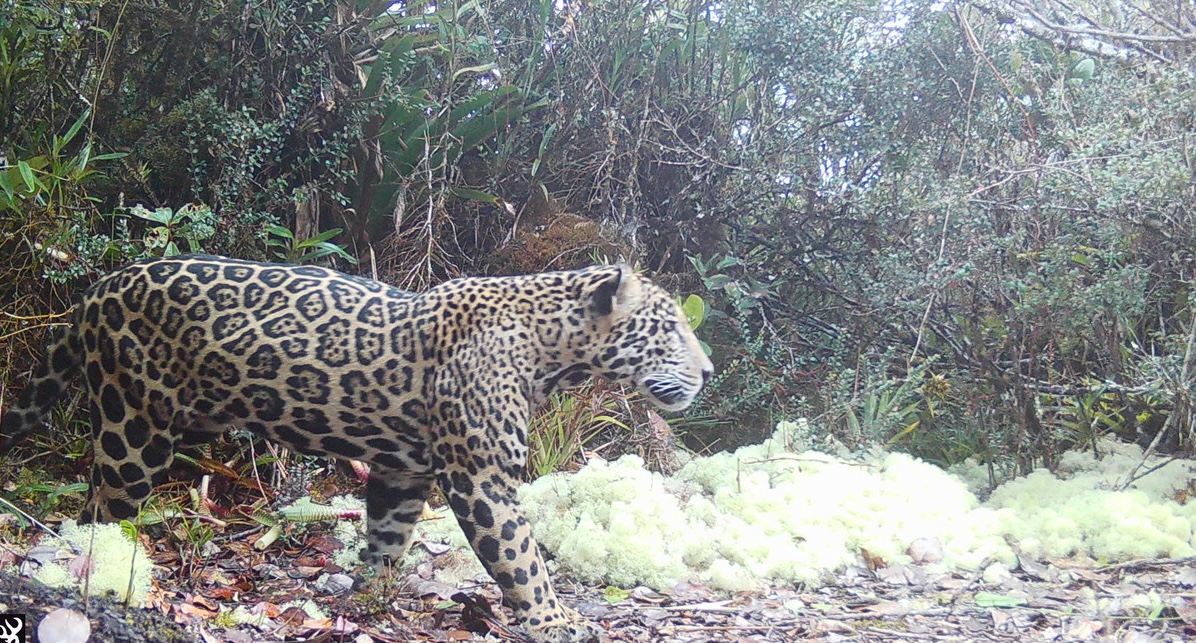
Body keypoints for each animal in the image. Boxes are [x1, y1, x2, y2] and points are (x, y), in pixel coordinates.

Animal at [0, 254, 713, 643]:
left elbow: (389, 536)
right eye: (671, 329)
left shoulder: (403, 470)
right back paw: (106, 573)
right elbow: (522, 558)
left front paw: (370, 599)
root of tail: (95, 289)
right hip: (135, 427)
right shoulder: (480, 475)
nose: (708, 372)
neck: (552, 352)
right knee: (103, 509)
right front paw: (555, 619)